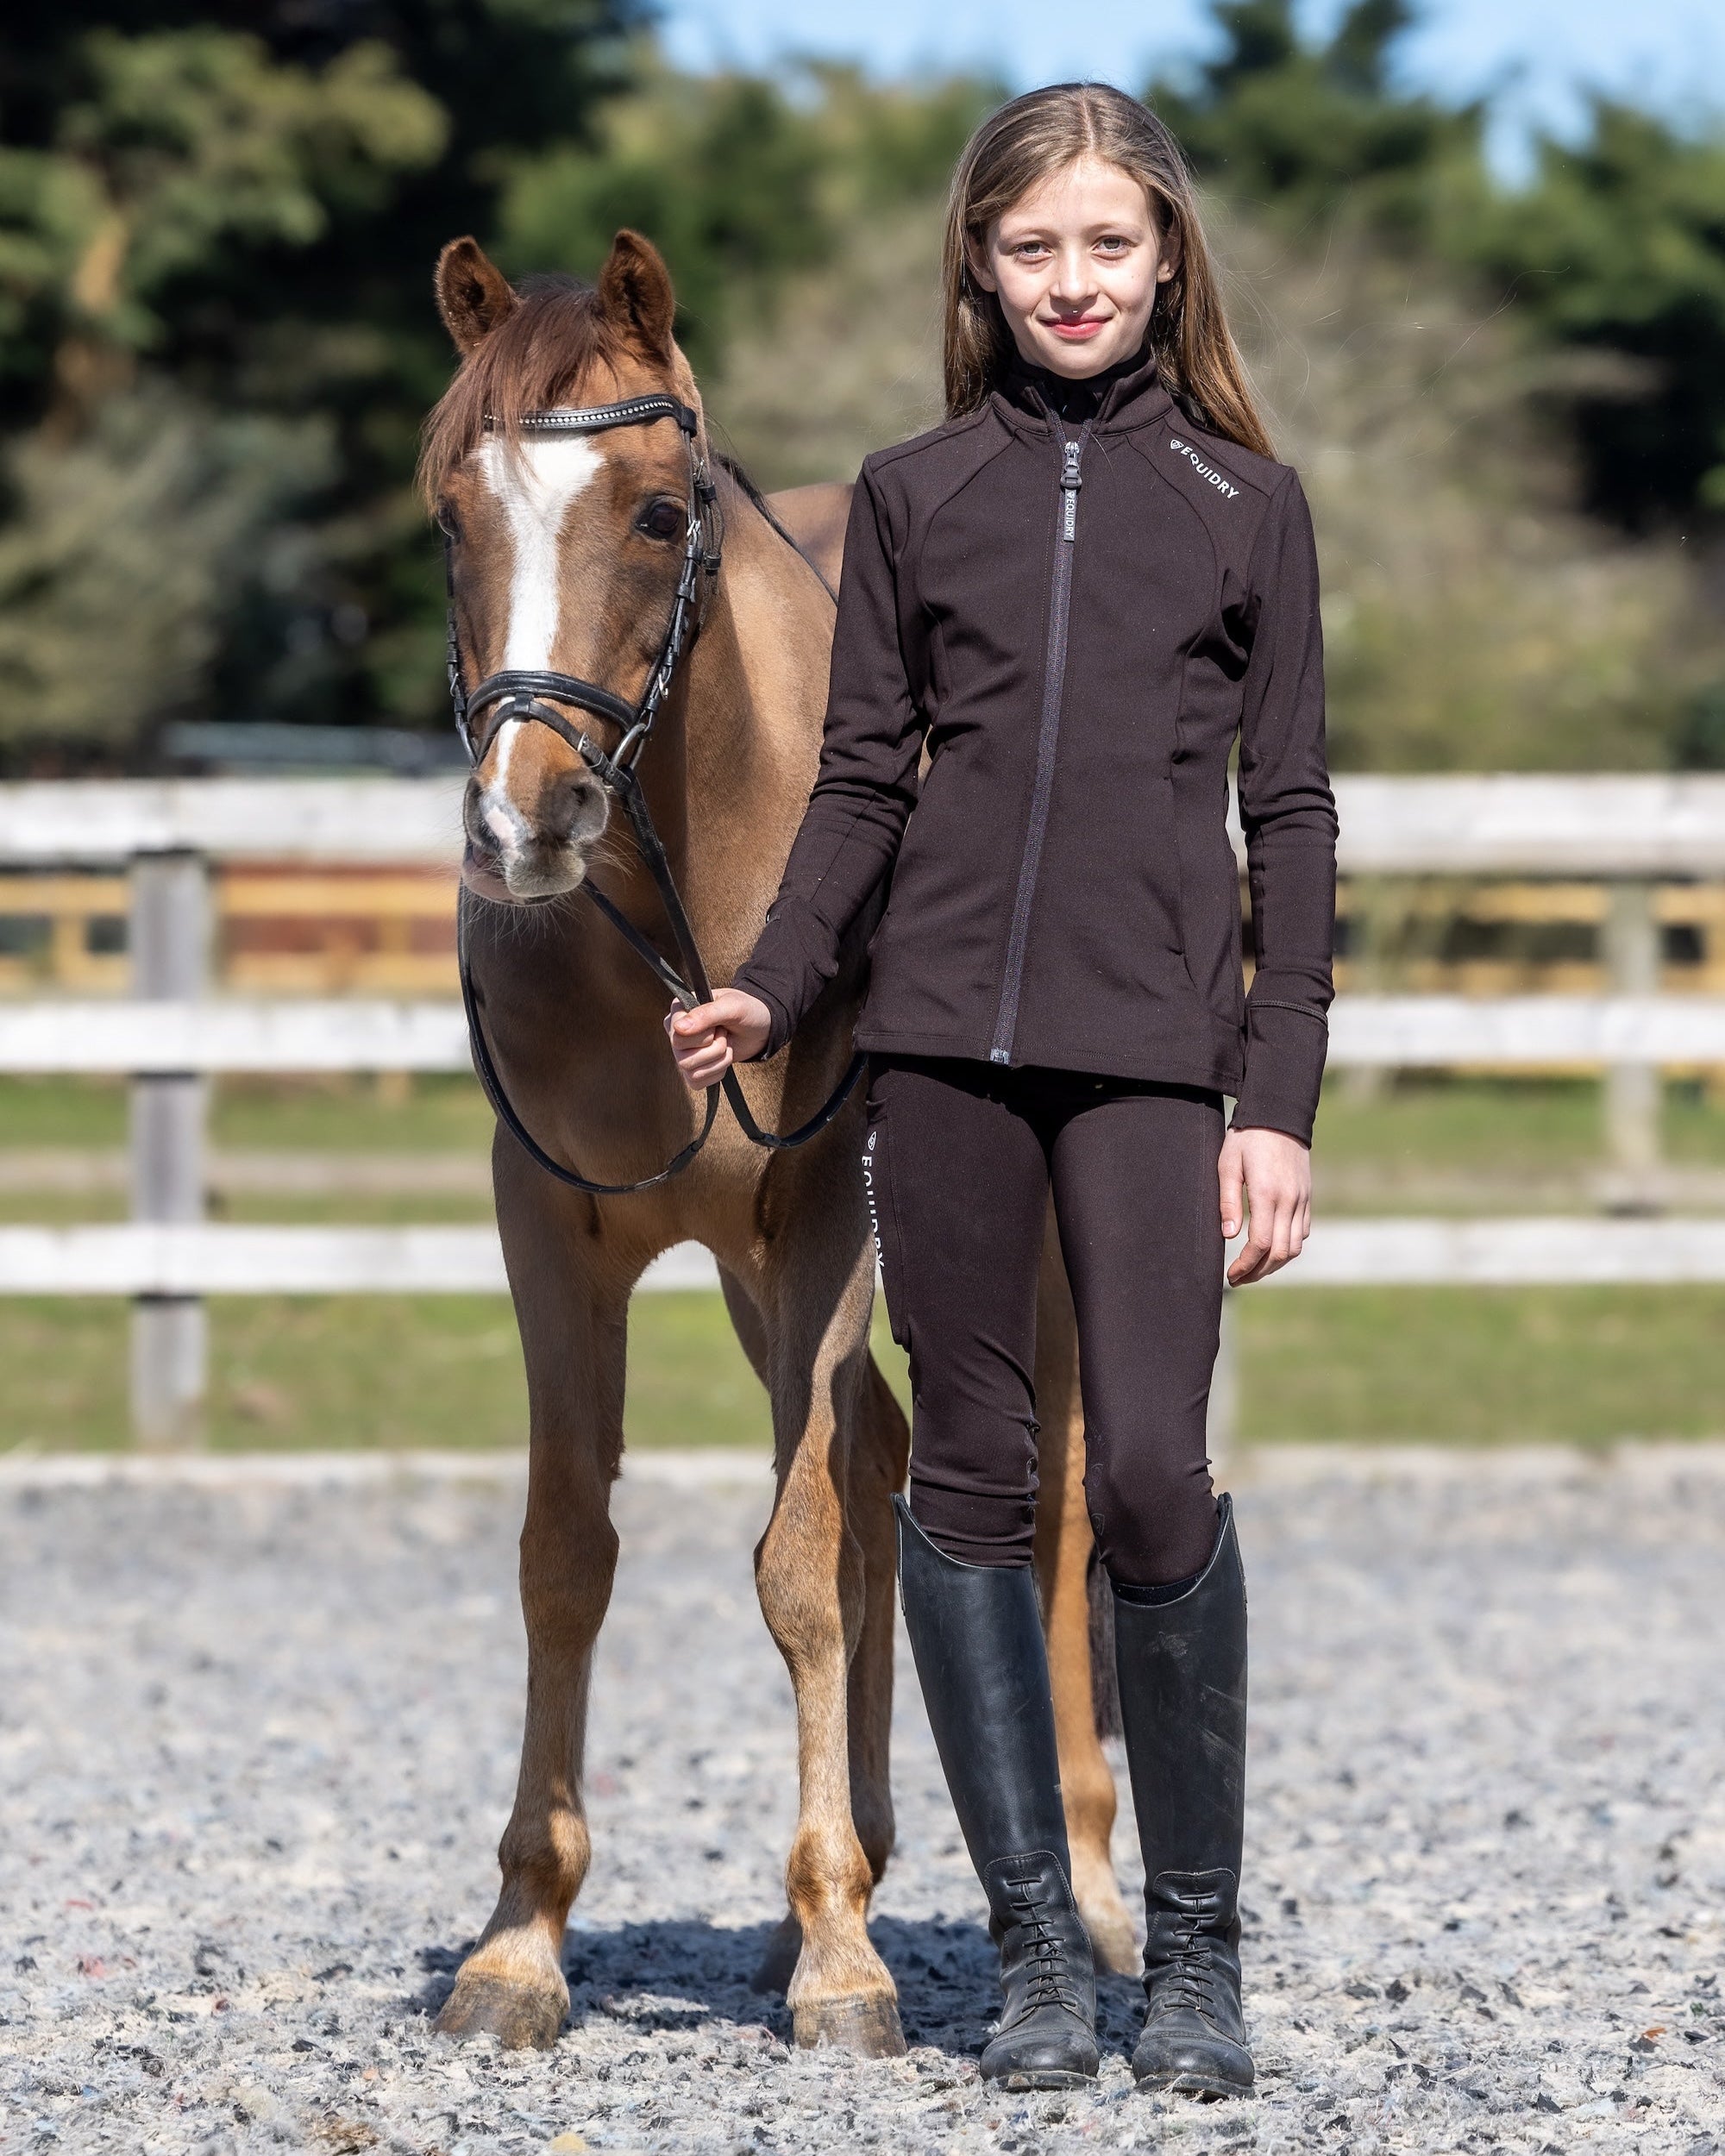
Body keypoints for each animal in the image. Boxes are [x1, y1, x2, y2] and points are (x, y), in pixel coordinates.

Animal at [420, 226, 1140, 2056]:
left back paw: (1090, 1894)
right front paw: (521, 1943)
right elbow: (568, 1555)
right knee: (882, 1465)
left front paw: (845, 1965)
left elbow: (799, 1559)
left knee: (1061, 1505)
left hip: (1035, 1249)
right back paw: (857, 1863)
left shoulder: (824, 1218)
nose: (524, 821)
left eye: (661, 515)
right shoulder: (552, 1229)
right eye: (449, 519)